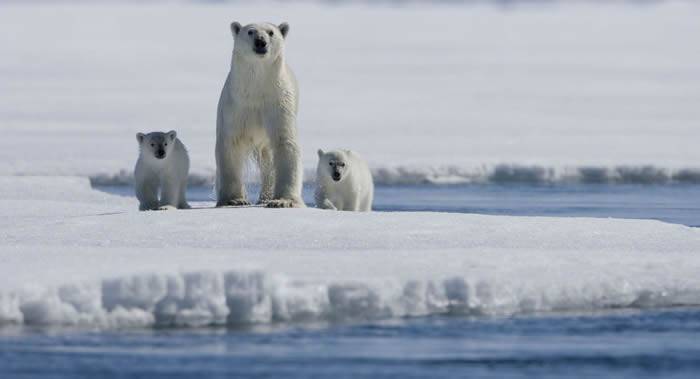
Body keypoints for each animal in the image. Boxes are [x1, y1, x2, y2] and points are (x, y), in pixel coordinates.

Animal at [216, 20, 304, 208]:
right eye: (250, 32)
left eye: (271, 32)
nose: (260, 42)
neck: (256, 89)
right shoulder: (235, 106)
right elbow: (230, 144)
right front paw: (234, 199)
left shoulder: (278, 103)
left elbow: (285, 143)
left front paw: (282, 201)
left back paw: (266, 197)